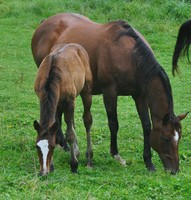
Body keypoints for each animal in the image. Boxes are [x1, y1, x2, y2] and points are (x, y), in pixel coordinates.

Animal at [33, 42, 93, 175]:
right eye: (37, 146)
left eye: (52, 147)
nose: (43, 171)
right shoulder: (47, 100)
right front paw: (52, 166)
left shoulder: (70, 101)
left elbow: (70, 134)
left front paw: (74, 165)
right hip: (61, 104)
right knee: (70, 122)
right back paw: (77, 151)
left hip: (86, 90)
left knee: (87, 120)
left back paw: (89, 159)